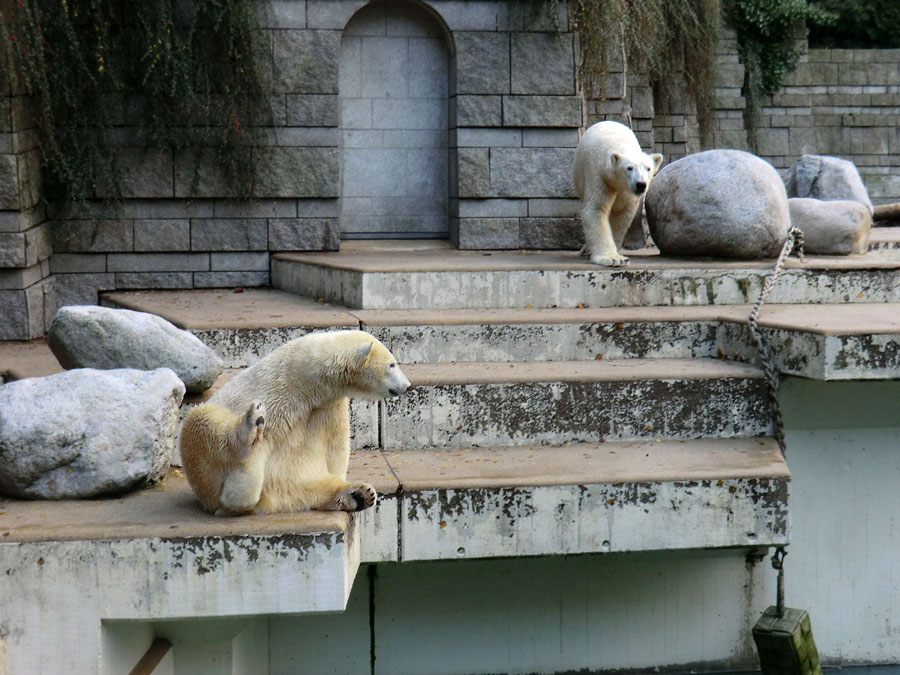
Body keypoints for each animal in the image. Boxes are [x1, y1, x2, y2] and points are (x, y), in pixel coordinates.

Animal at [180, 332, 412, 516]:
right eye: (392, 364)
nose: (408, 386)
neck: (307, 381)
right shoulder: (278, 393)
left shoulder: (327, 407)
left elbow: (333, 450)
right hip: (201, 465)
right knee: (205, 424)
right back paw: (250, 430)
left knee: (304, 487)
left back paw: (358, 494)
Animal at [572, 120, 664, 268]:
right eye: (629, 168)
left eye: (648, 168)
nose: (641, 184)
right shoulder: (599, 177)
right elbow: (596, 210)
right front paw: (613, 259)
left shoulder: (627, 192)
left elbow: (622, 214)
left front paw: (618, 255)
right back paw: (586, 249)